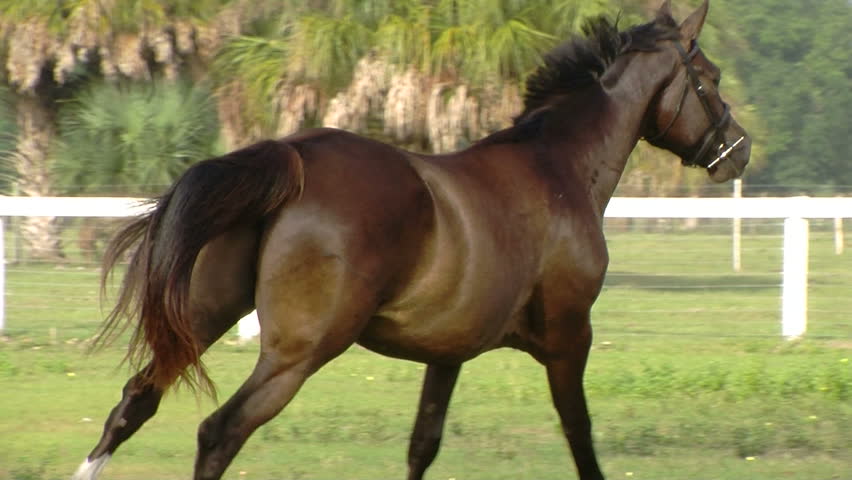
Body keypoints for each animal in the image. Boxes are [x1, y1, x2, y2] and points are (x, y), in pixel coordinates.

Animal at [73, 2, 750, 479]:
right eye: (709, 77)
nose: (738, 152)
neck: (557, 168)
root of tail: (292, 158)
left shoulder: (448, 353)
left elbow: (423, 444)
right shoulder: (568, 337)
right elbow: (580, 436)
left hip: (206, 315)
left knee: (133, 403)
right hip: (300, 351)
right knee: (219, 432)